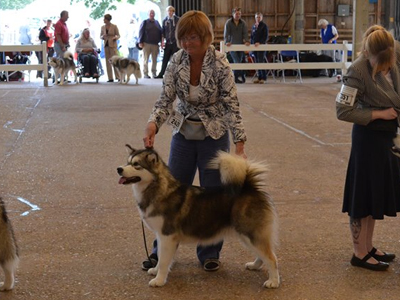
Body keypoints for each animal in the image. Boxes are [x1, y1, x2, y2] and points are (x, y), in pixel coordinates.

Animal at [116, 147, 278, 288]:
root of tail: (249, 188)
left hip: (249, 233)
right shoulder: (162, 237)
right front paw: (156, 272)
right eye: (127, 162)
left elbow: (163, 261)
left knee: (272, 258)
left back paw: (273, 282)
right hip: (246, 235)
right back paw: (255, 266)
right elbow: (162, 257)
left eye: (136, 164)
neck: (158, 189)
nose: (119, 169)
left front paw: (159, 280)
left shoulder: (167, 236)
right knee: (263, 255)